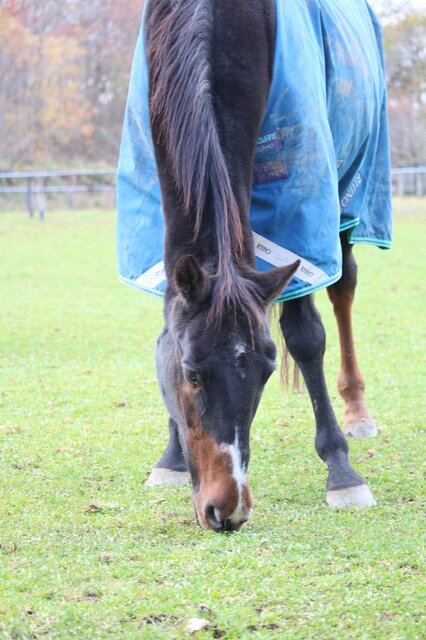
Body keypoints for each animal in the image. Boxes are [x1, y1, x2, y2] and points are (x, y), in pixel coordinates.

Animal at [117, 0, 392, 531]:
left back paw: (356, 409)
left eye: (265, 372)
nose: (227, 509)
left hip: (348, 200)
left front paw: (342, 473)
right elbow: (165, 330)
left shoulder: (300, 216)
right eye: (192, 374)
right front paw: (170, 459)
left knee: (343, 289)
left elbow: (306, 339)